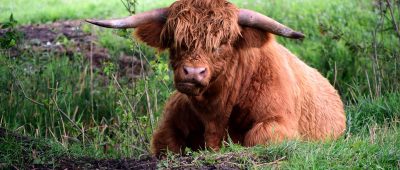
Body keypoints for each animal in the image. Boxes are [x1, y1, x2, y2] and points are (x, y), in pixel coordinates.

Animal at [86, 0, 346, 157]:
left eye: (223, 42)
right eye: (175, 39)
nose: (193, 72)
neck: (216, 110)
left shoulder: (280, 122)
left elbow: (257, 137)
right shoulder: (167, 127)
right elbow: (168, 144)